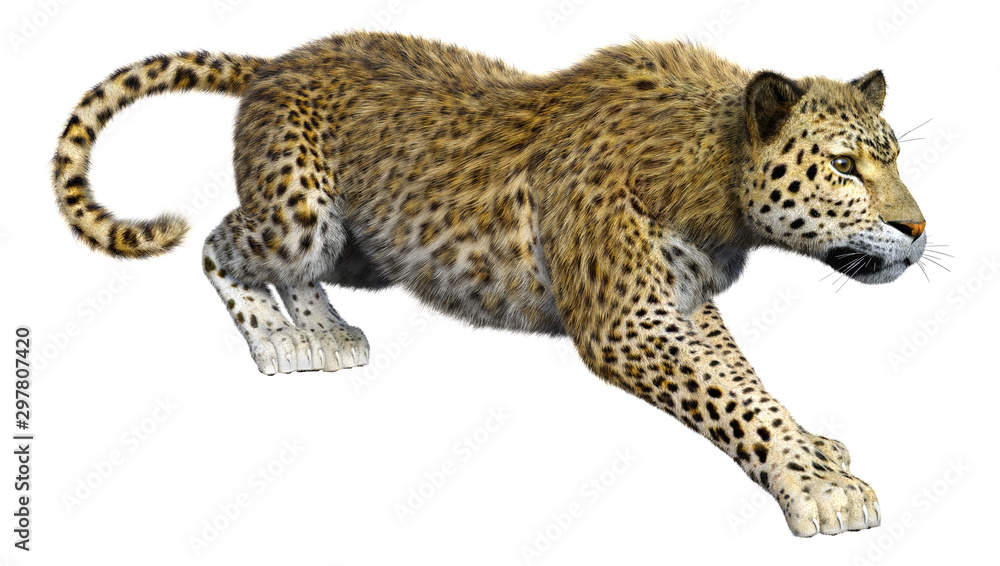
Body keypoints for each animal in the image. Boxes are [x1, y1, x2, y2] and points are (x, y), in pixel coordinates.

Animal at [51, 32, 926, 537]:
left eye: (894, 157)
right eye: (845, 166)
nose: (918, 230)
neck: (715, 182)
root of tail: (277, 62)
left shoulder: (680, 303)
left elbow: (746, 382)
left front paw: (812, 450)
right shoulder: (627, 321)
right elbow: (733, 401)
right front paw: (816, 487)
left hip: (361, 244)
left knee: (298, 270)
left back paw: (323, 333)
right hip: (298, 215)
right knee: (217, 239)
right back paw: (275, 341)